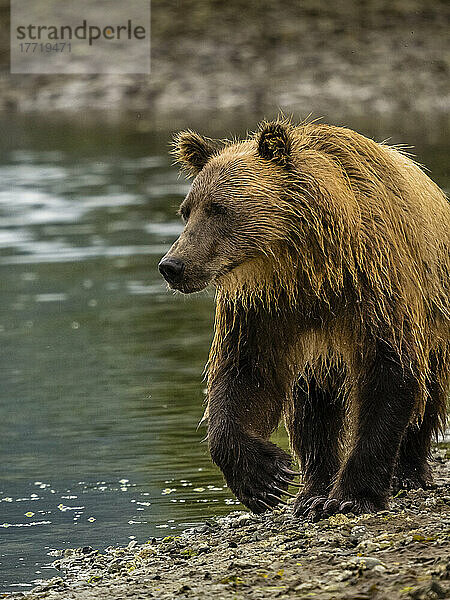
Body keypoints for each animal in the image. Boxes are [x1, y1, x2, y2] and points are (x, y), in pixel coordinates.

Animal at [159, 119, 450, 516]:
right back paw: (312, 491)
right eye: (187, 209)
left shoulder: (376, 284)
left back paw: (407, 473)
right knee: (312, 409)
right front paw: (265, 478)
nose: (172, 265)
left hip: (437, 315)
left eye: (219, 209)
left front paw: (353, 495)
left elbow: (389, 374)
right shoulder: (261, 307)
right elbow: (245, 375)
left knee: (428, 395)